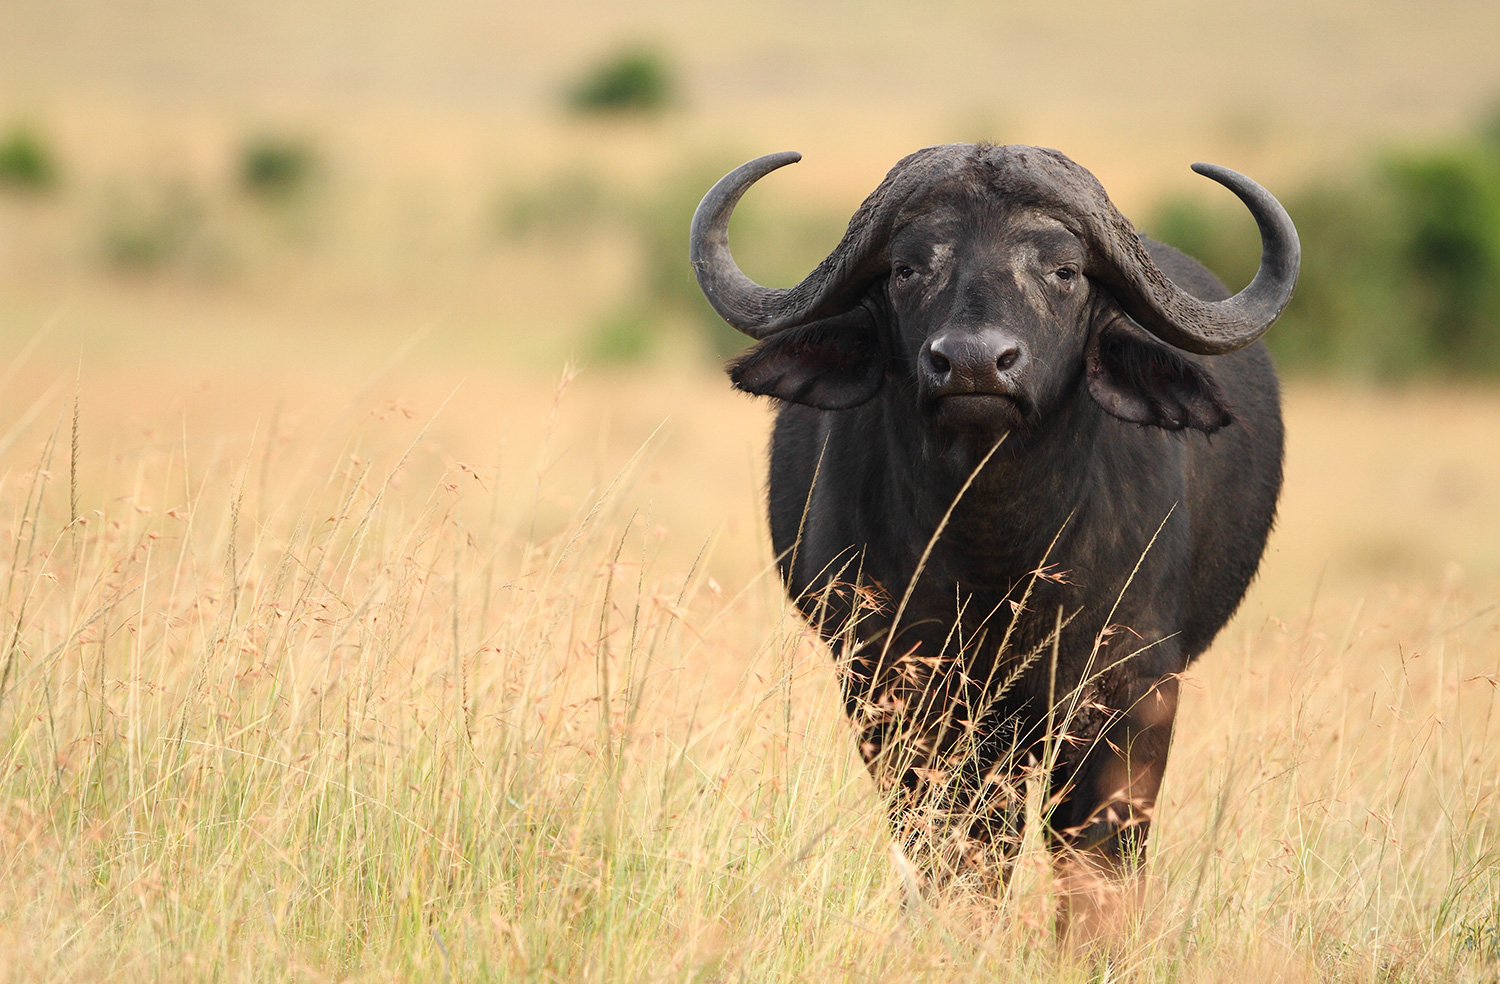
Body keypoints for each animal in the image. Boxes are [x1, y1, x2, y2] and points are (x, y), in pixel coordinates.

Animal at [689, 144, 1297, 932]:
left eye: (1064, 271)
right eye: (908, 267)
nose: (975, 363)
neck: (995, 553)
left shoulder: (1130, 693)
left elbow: (1095, 856)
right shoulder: (891, 689)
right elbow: (955, 849)